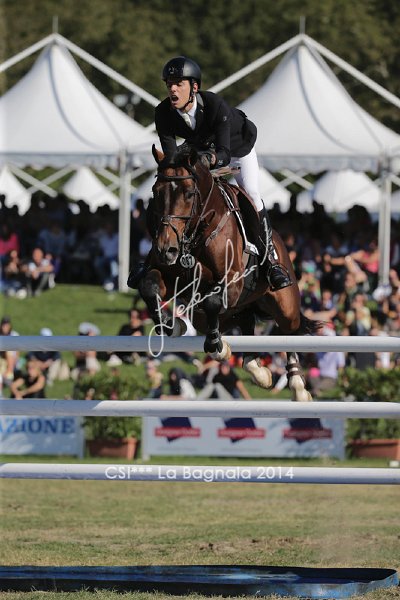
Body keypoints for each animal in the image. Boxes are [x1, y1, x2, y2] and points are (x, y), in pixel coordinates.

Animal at [137, 146, 322, 402]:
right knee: (244, 322)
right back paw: (257, 370)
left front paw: (216, 346)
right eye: (155, 192)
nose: (167, 249)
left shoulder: (233, 283)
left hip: (285, 305)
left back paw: (298, 386)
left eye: (189, 193)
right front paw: (171, 326)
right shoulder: (170, 277)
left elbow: (213, 301)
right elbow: (149, 287)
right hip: (223, 313)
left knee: (289, 331)